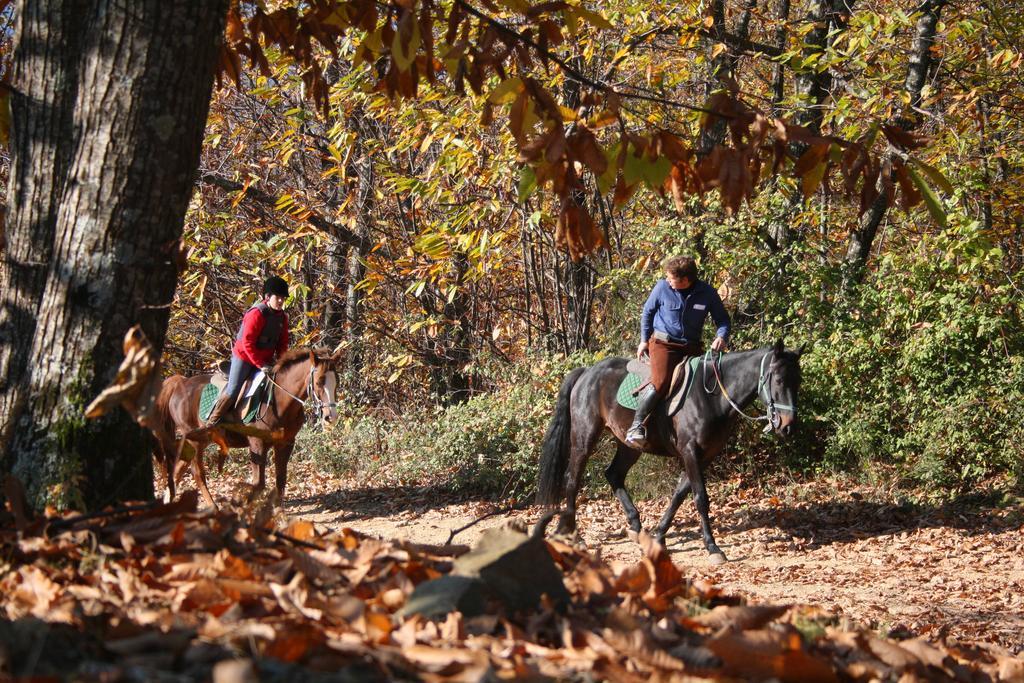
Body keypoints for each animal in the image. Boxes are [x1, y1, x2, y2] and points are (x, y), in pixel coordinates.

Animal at [151, 348, 342, 507]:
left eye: (337, 382)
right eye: (319, 382)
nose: (330, 416)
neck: (280, 401)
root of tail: (180, 383)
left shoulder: (285, 443)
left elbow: (280, 479)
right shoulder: (257, 443)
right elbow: (258, 483)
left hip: (200, 439)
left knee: (178, 469)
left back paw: (168, 500)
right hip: (195, 440)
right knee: (197, 473)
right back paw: (212, 506)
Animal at [536, 339, 798, 565]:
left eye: (797, 380)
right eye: (778, 379)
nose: (787, 426)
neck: (711, 397)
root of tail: (587, 372)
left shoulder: (704, 456)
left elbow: (679, 495)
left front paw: (658, 535)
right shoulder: (690, 451)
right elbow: (700, 497)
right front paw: (712, 547)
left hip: (630, 445)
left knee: (614, 474)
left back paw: (635, 526)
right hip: (584, 437)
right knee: (573, 479)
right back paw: (573, 534)